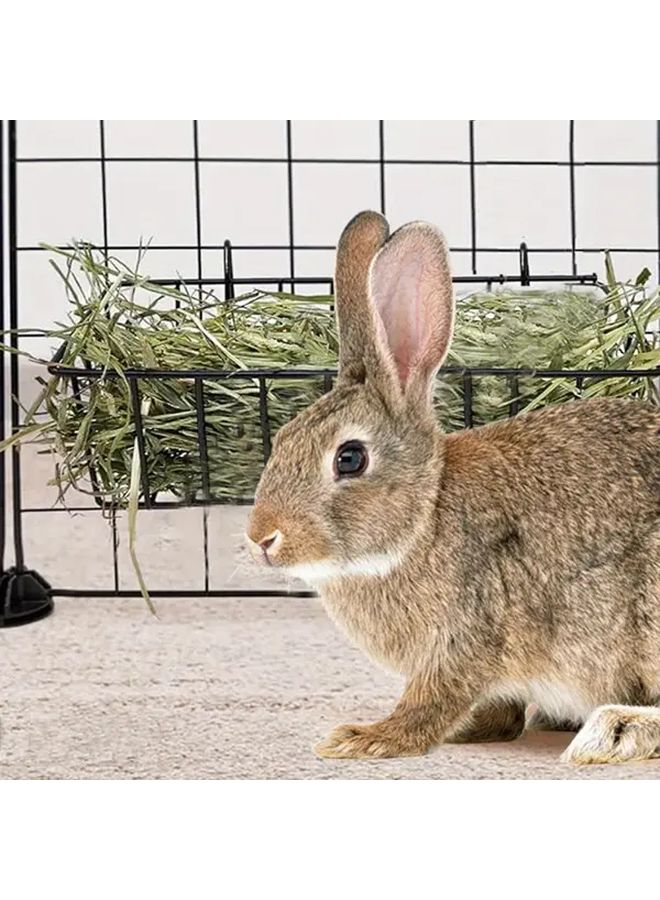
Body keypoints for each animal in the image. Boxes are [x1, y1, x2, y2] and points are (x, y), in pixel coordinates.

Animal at [246, 210, 660, 765]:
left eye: (349, 458)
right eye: (284, 437)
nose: (262, 537)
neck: (424, 519)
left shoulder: (468, 635)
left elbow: (433, 700)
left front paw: (366, 738)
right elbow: (497, 709)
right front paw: (476, 729)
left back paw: (612, 730)